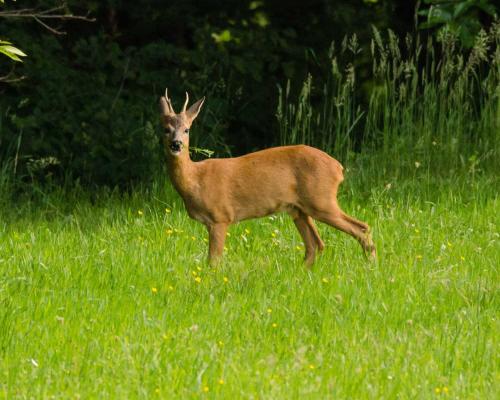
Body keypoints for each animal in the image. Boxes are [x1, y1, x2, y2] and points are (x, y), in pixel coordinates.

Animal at [160, 90, 376, 266]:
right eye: (166, 129)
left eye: (187, 129)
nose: (176, 144)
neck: (195, 180)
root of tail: (338, 168)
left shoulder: (220, 217)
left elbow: (213, 261)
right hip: (299, 209)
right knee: (315, 245)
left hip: (321, 200)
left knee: (361, 228)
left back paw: (371, 266)